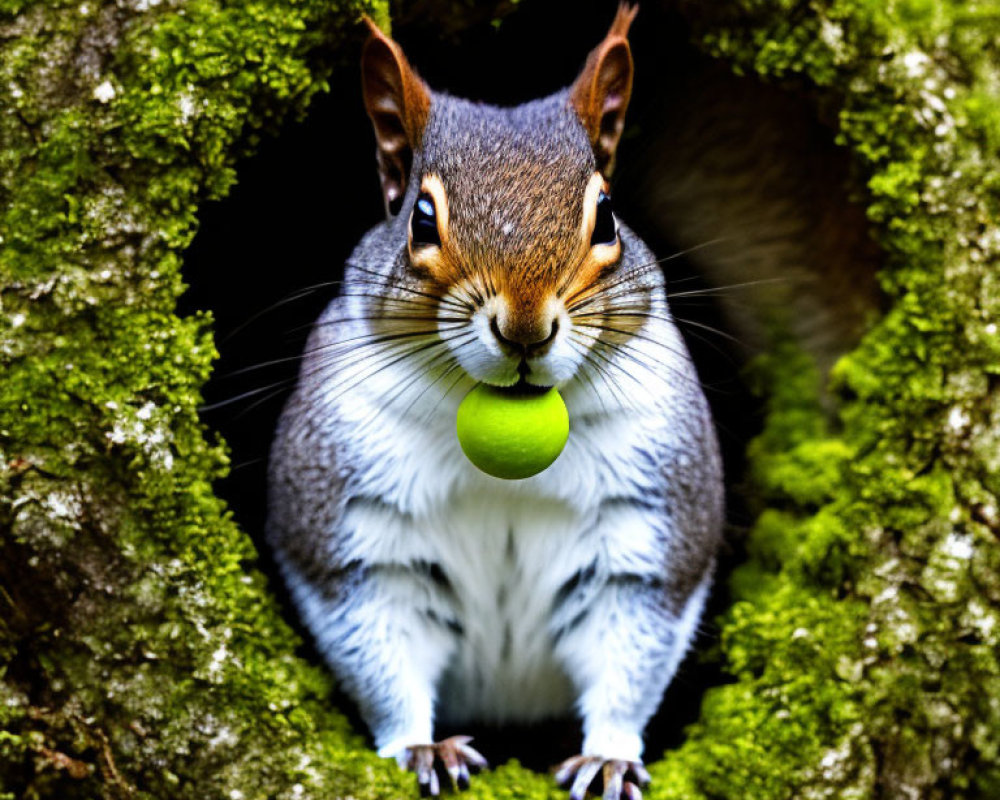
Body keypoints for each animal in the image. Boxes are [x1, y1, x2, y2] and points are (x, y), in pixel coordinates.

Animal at [264, 6, 720, 800]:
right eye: (420, 219)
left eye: (607, 217)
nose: (526, 328)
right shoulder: (352, 537)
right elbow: (377, 651)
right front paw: (421, 748)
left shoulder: (653, 530)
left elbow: (631, 658)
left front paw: (607, 758)